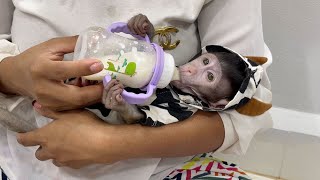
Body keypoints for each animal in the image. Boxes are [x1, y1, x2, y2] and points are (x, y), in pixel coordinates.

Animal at [100, 14, 248, 126]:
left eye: (210, 77)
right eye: (205, 61)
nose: (191, 70)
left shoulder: (183, 108)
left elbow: (147, 117)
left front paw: (119, 103)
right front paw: (143, 25)